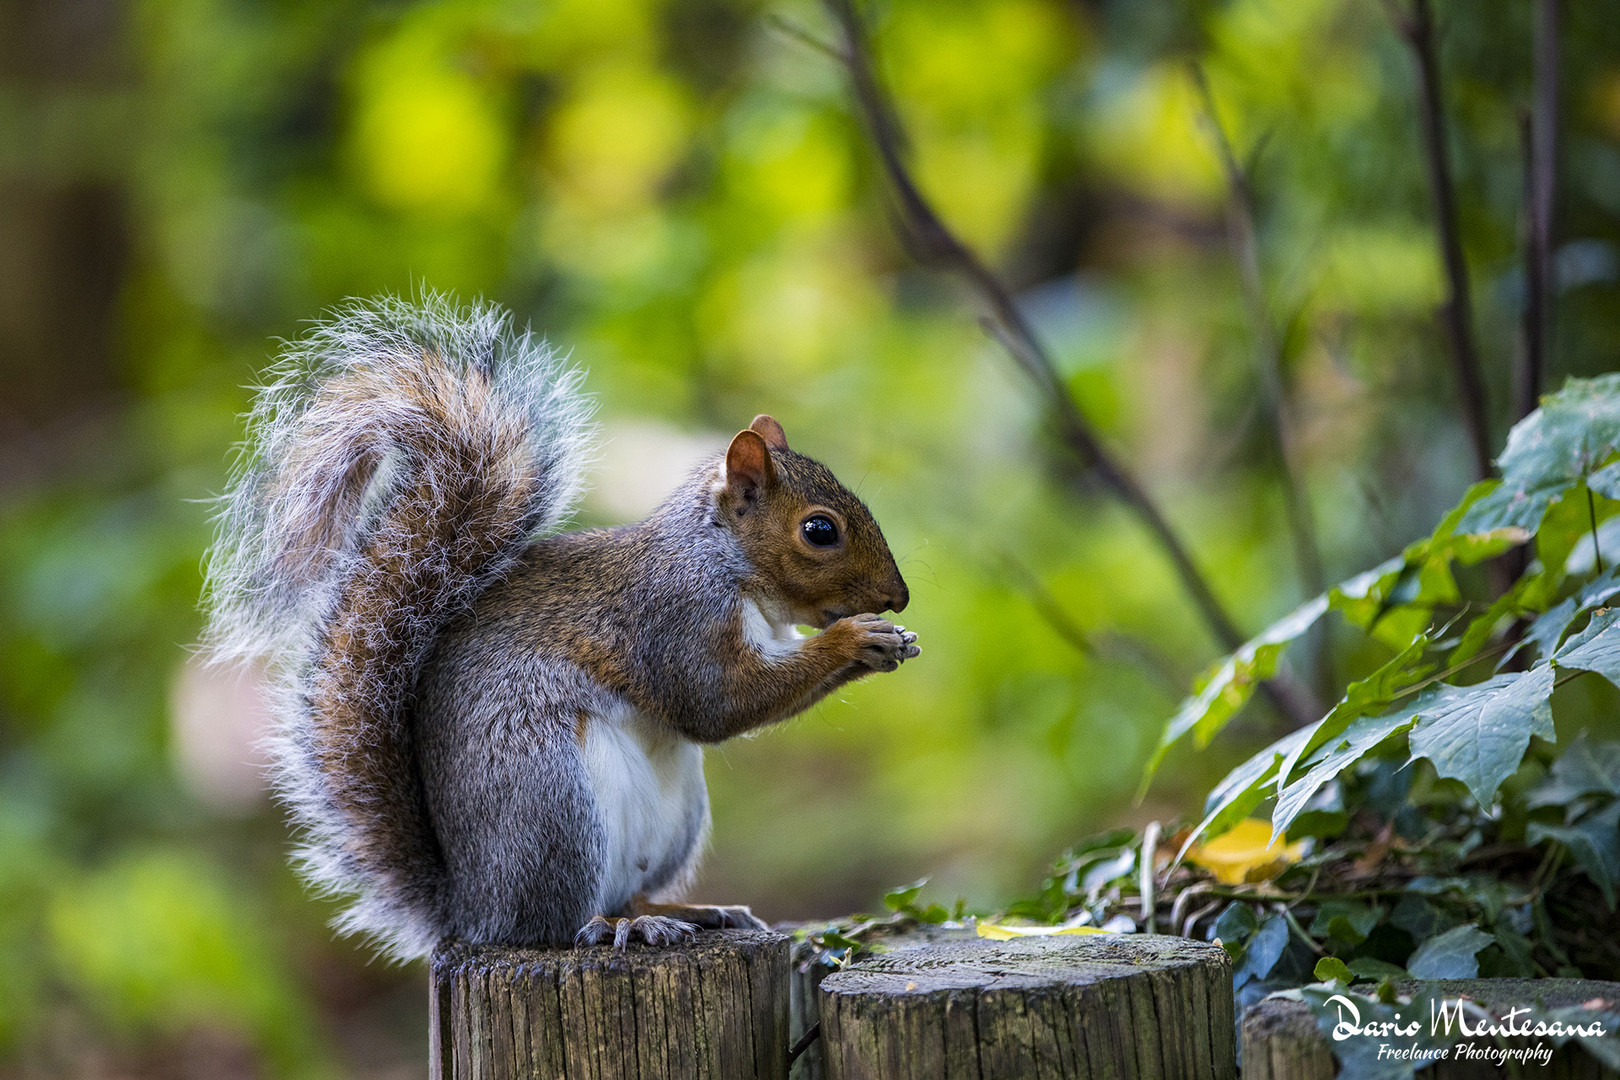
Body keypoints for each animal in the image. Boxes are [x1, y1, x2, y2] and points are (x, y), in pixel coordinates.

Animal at [204, 291, 920, 958]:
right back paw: (611, 928)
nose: (900, 598)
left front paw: (888, 642)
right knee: (553, 922)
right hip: (549, 797)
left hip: (674, 816)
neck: (728, 566)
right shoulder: (673, 617)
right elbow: (717, 703)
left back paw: (680, 912)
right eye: (819, 531)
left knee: (630, 889)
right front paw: (857, 639)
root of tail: (472, 908)